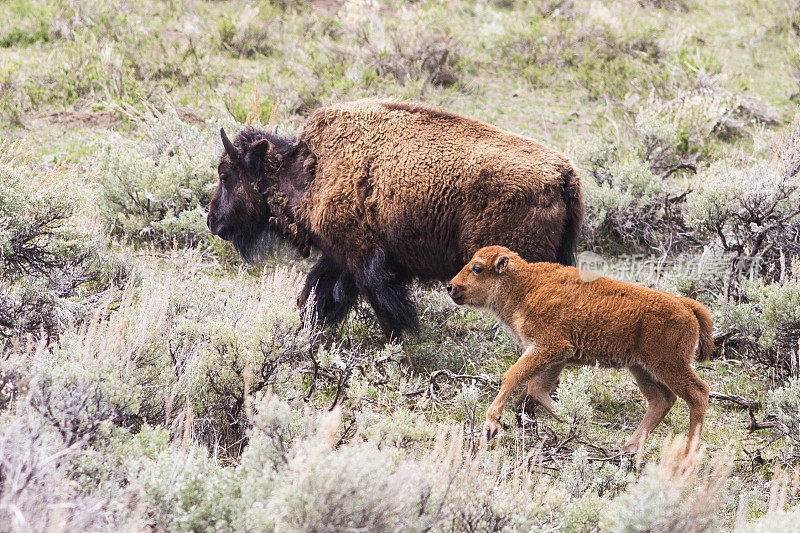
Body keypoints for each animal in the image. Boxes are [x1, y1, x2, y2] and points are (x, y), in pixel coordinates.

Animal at [206, 99, 580, 338]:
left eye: (226, 175)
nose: (213, 221)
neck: (313, 169)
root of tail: (563, 174)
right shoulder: (340, 260)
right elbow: (313, 299)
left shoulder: (367, 265)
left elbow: (389, 318)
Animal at [446, 246, 716, 454]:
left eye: (477, 268)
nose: (450, 287)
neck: (526, 285)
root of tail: (685, 305)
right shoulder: (556, 356)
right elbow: (536, 388)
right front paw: (572, 419)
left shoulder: (547, 346)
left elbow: (513, 376)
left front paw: (491, 425)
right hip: (640, 368)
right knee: (661, 400)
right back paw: (630, 447)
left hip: (669, 364)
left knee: (698, 393)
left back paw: (689, 452)